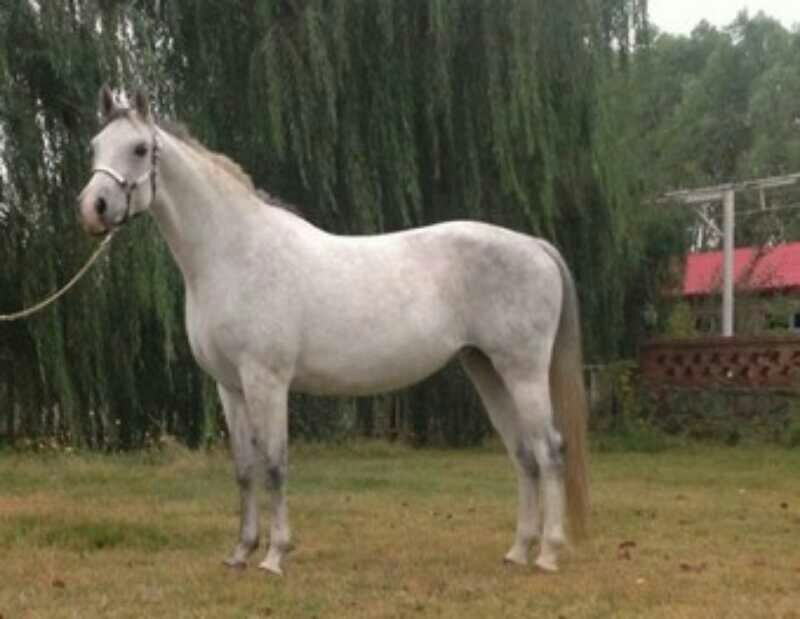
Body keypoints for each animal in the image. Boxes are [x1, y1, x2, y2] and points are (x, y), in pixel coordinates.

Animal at [77, 86, 589, 576]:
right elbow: (244, 469)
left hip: (522, 372)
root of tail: (535, 246)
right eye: (95, 145)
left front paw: (275, 556)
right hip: (486, 369)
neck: (235, 253)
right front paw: (240, 553)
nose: (93, 208)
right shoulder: (229, 386)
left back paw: (547, 554)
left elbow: (274, 466)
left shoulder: (267, 381)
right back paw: (518, 552)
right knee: (523, 455)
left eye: (140, 149)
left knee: (549, 451)